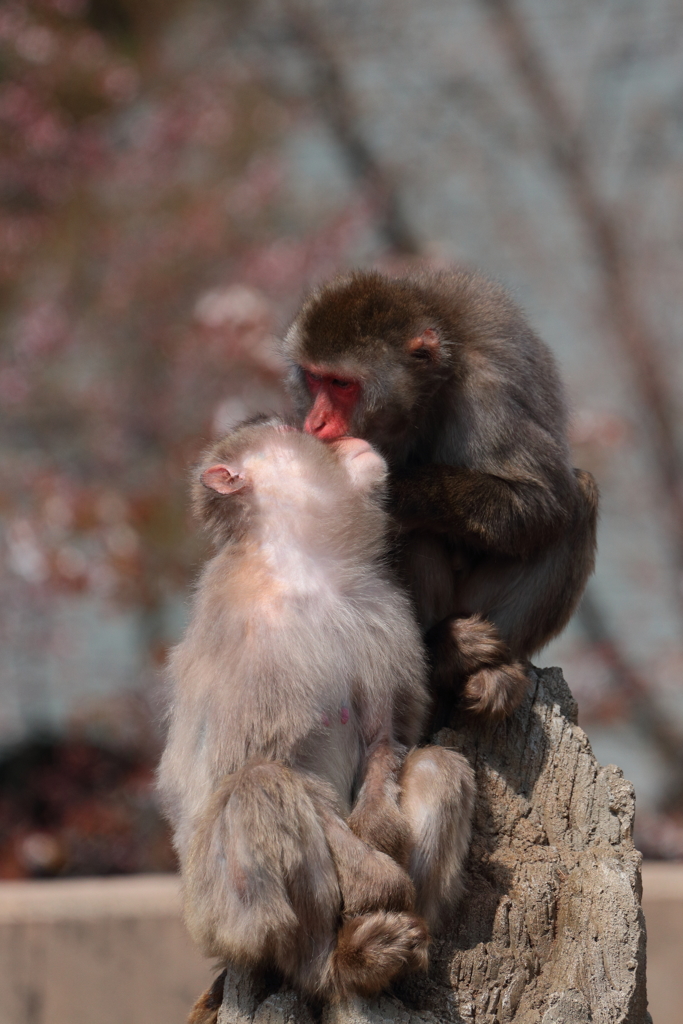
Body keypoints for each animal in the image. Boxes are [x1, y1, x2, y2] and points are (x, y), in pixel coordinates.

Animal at [282, 268, 598, 724]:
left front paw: (392, 492)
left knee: (578, 501)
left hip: (477, 609)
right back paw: (440, 653)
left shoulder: (487, 391)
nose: (315, 422)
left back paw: (478, 667)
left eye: (341, 384)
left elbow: (544, 502)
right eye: (314, 378)